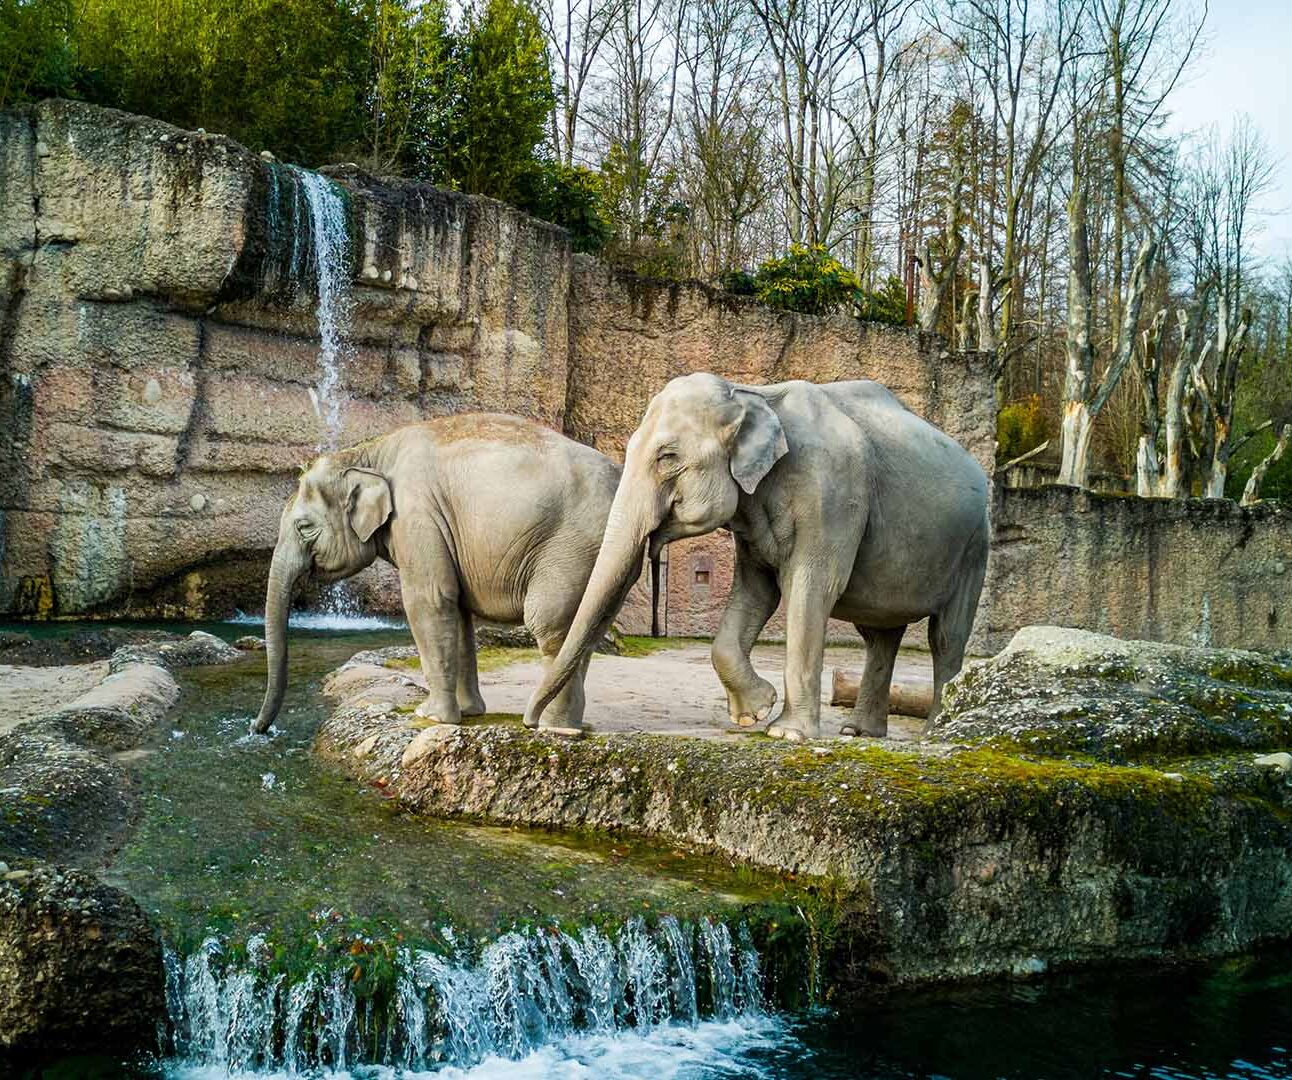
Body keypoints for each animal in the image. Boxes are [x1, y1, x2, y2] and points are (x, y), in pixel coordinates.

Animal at [252, 413, 642, 737]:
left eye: (304, 527)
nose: (258, 728)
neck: (369, 453)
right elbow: (458, 612)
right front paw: (469, 713)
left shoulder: (416, 515)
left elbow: (430, 599)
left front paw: (430, 716)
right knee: (584, 631)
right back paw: (567, 724)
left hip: (572, 548)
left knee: (551, 626)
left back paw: (551, 727)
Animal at [524, 373, 990, 742]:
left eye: (667, 457)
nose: (531, 724)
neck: (755, 395)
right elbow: (755, 592)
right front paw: (755, 712)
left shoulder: (833, 496)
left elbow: (812, 587)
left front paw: (785, 732)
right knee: (879, 637)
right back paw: (858, 732)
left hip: (974, 545)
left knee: (945, 637)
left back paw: (933, 733)